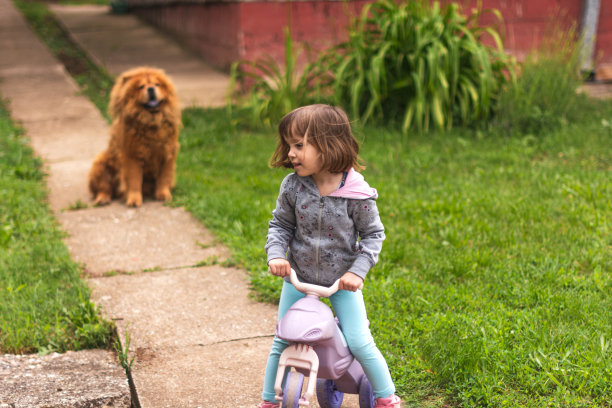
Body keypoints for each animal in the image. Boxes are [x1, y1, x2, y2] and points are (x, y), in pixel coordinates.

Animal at [88, 68, 182, 207]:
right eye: (141, 86)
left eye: (157, 84)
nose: (151, 89)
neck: (151, 121)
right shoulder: (133, 155)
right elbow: (134, 180)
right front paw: (134, 200)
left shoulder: (167, 154)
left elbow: (164, 178)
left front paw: (164, 195)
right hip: (100, 164)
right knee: (105, 188)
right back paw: (102, 199)